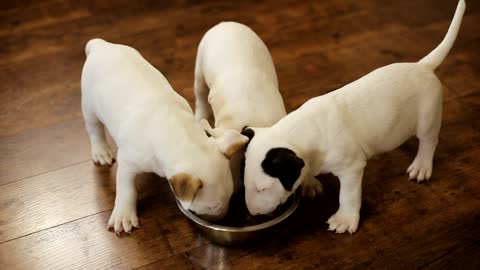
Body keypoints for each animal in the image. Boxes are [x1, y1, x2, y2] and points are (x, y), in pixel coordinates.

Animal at [244, 0, 464, 234]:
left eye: (263, 189)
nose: (253, 213)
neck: (301, 131)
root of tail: (422, 66)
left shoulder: (351, 168)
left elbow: (347, 196)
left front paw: (345, 219)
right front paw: (309, 182)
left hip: (428, 116)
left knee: (428, 141)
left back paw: (422, 166)